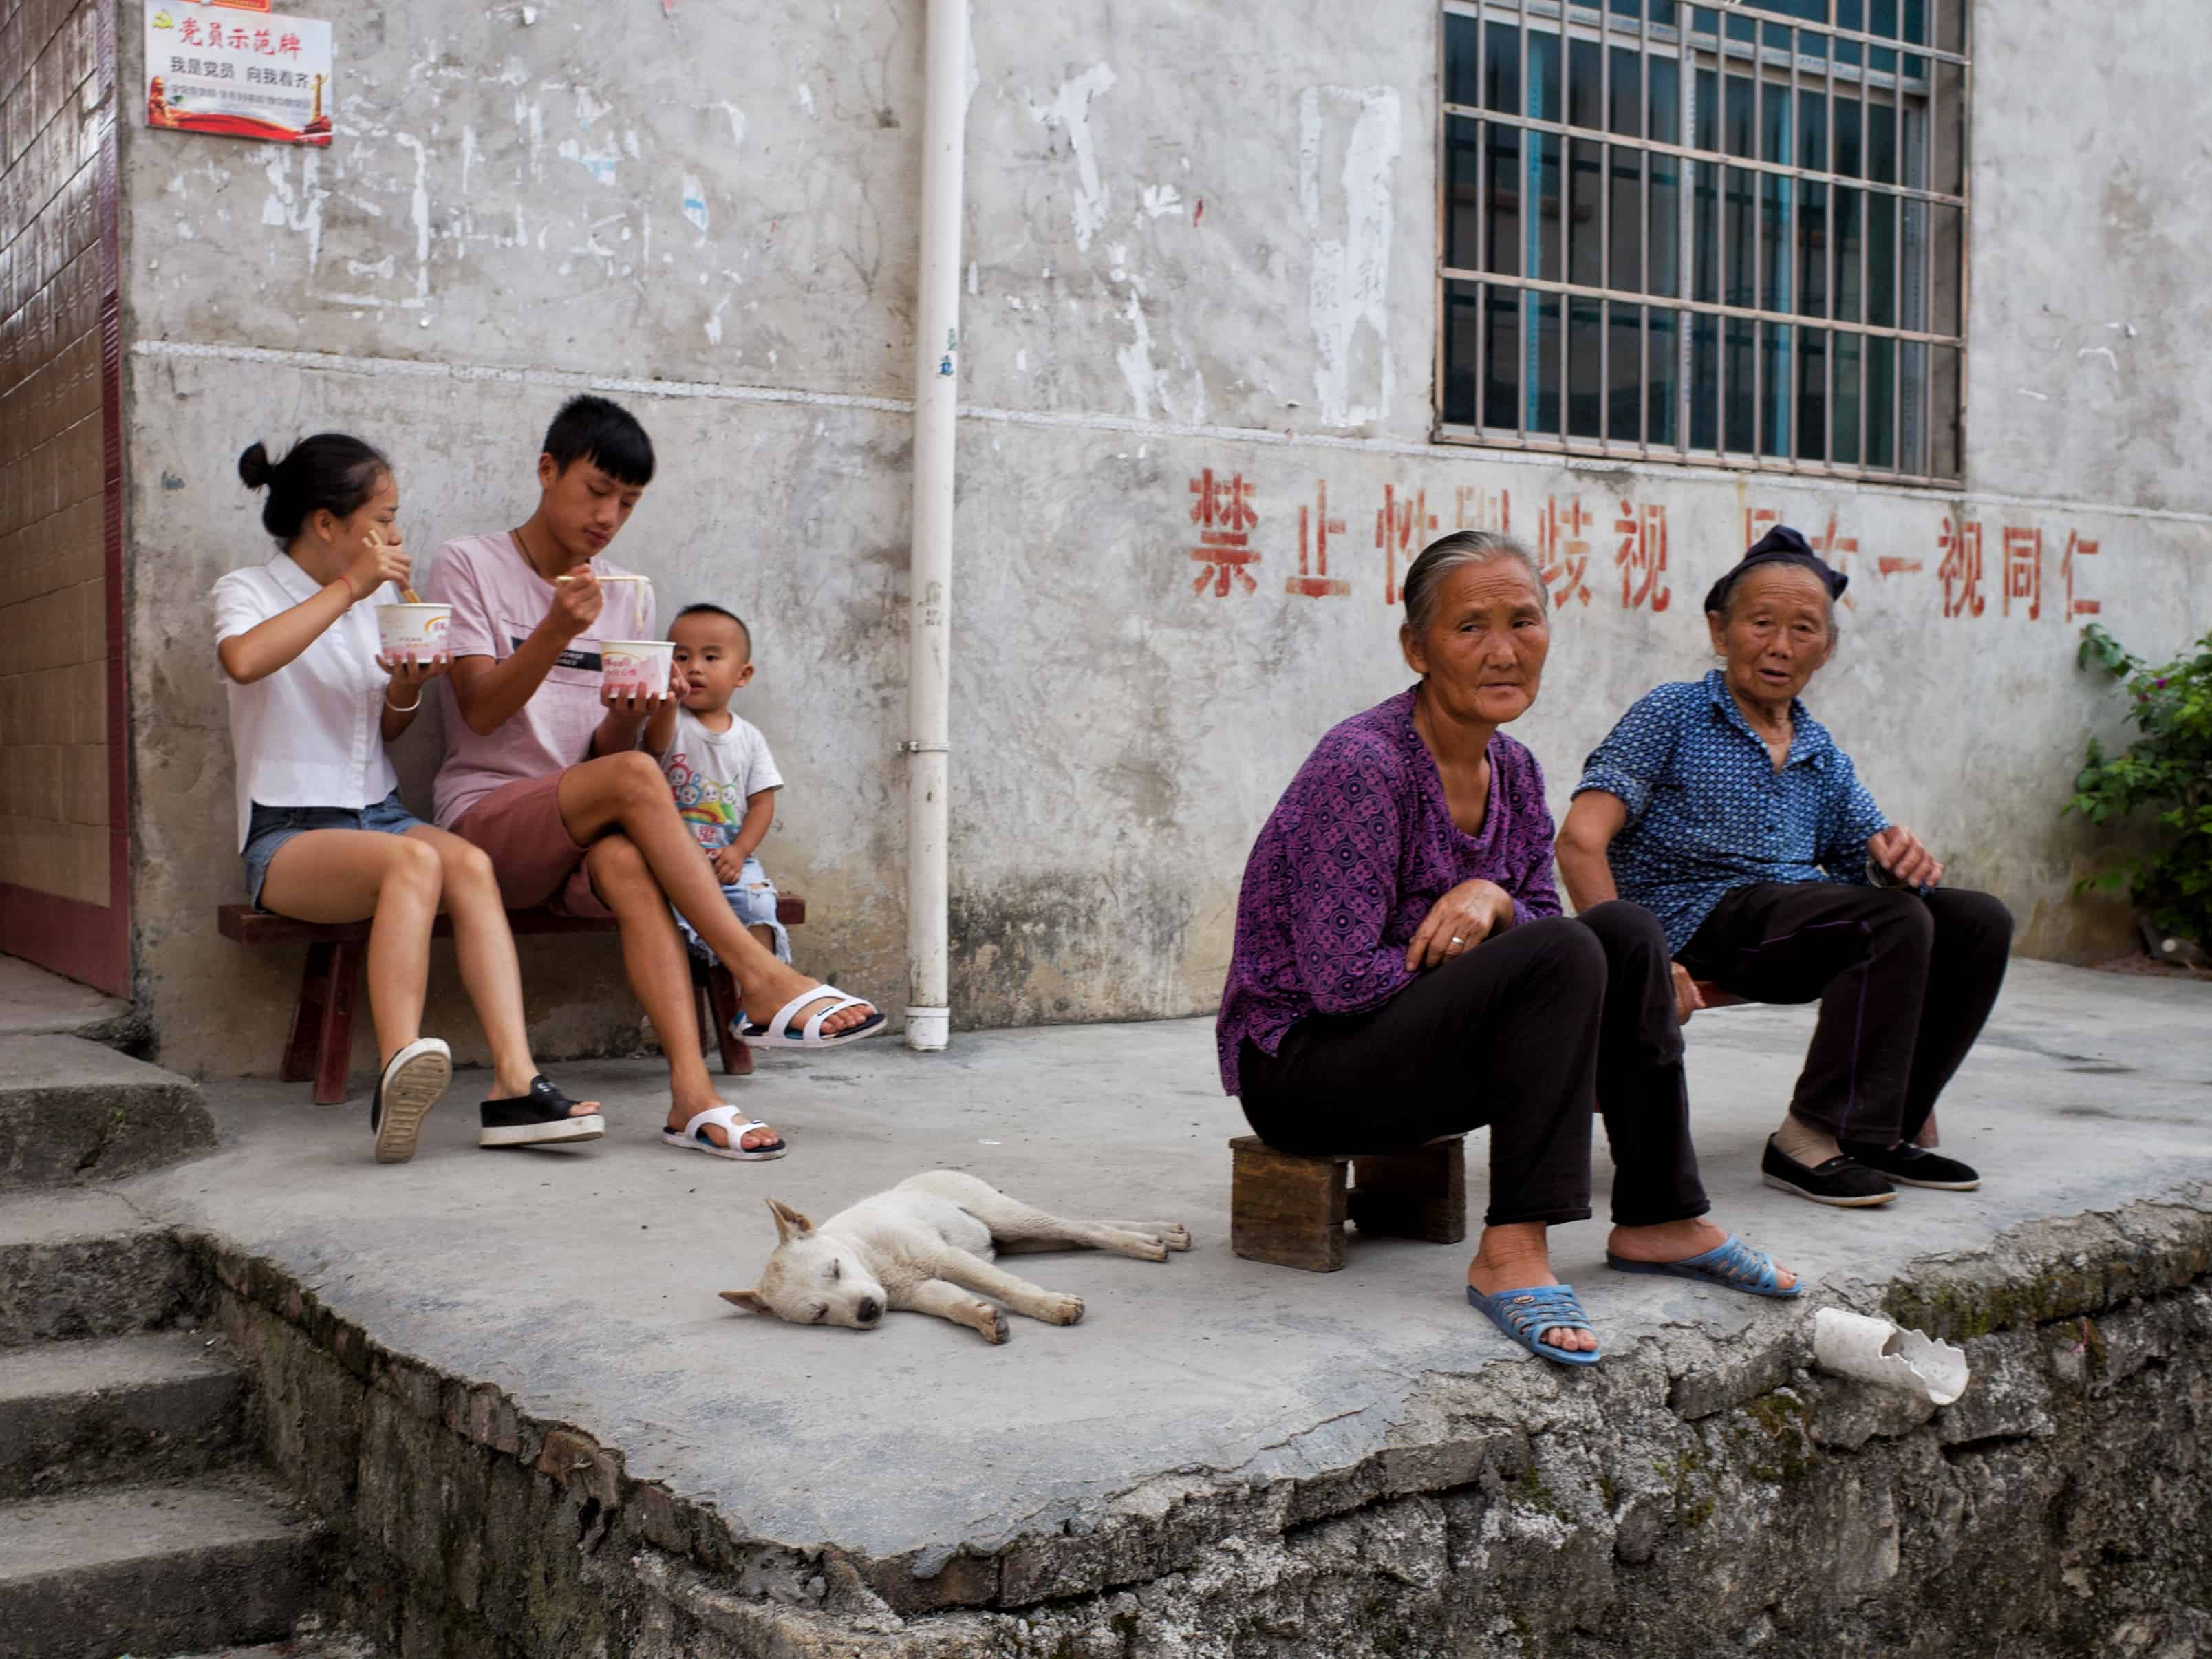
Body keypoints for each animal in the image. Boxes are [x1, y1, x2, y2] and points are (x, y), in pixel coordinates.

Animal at [719, 1170, 1191, 1343]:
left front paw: (1050, 1305)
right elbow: (953, 1304)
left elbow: (1004, 1286)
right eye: (819, 1313)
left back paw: (1147, 1241)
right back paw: (1159, 1234)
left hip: (1009, 1217)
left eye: (834, 1269)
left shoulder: (946, 1258)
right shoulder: (921, 1290)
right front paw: (982, 1318)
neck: (872, 1259)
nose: (868, 1311)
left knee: (1080, 1228)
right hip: (1020, 1239)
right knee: (1082, 1234)